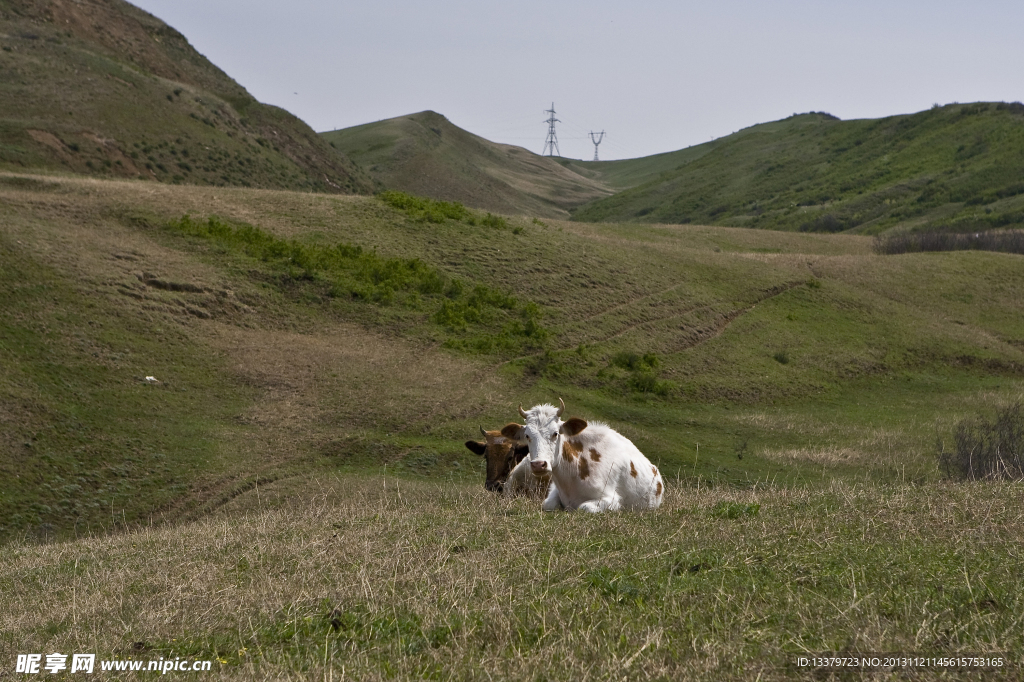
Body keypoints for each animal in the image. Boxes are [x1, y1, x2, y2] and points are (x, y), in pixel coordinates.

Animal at [501, 399, 663, 509]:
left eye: (555, 433)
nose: (538, 465)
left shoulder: (614, 501)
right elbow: (548, 504)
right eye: (527, 435)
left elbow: (584, 507)